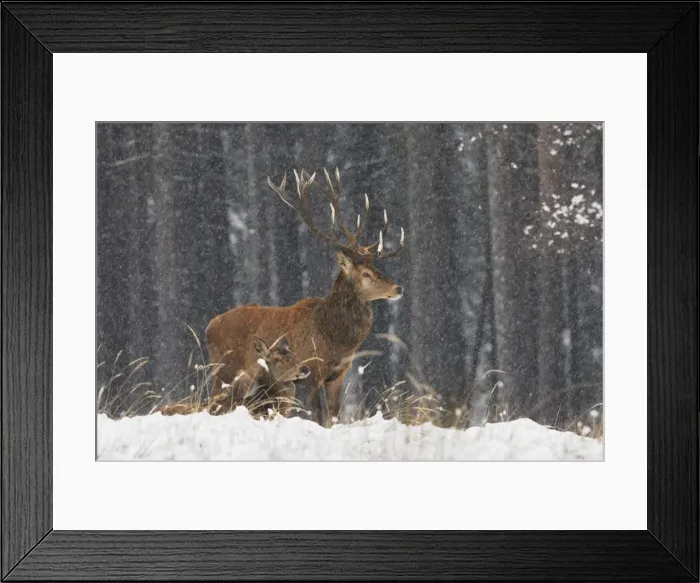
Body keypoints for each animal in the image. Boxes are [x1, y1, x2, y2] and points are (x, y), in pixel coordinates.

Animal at [206, 168, 405, 426]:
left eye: (376, 268)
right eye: (366, 273)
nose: (398, 288)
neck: (335, 338)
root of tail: (209, 327)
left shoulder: (338, 374)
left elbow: (334, 417)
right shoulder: (311, 370)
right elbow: (318, 417)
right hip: (224, 369)